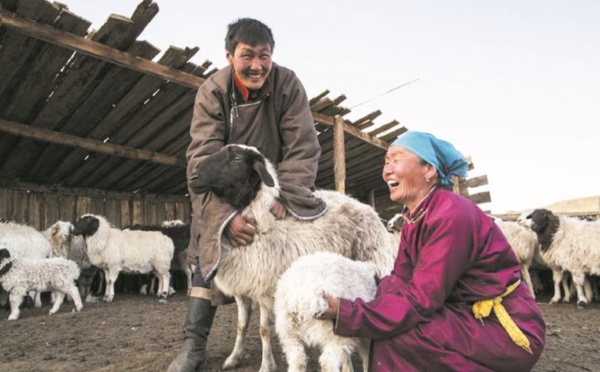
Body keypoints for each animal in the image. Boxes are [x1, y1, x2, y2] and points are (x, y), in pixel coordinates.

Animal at [188, 143, 394, 372]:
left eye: (237, 159)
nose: (193, 177)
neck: (260, 220)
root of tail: (366, 207)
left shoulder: (266, 291)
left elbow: (264, 330)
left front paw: (266, 365)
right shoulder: (243, 289)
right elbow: (241, 326)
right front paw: (234, 358)